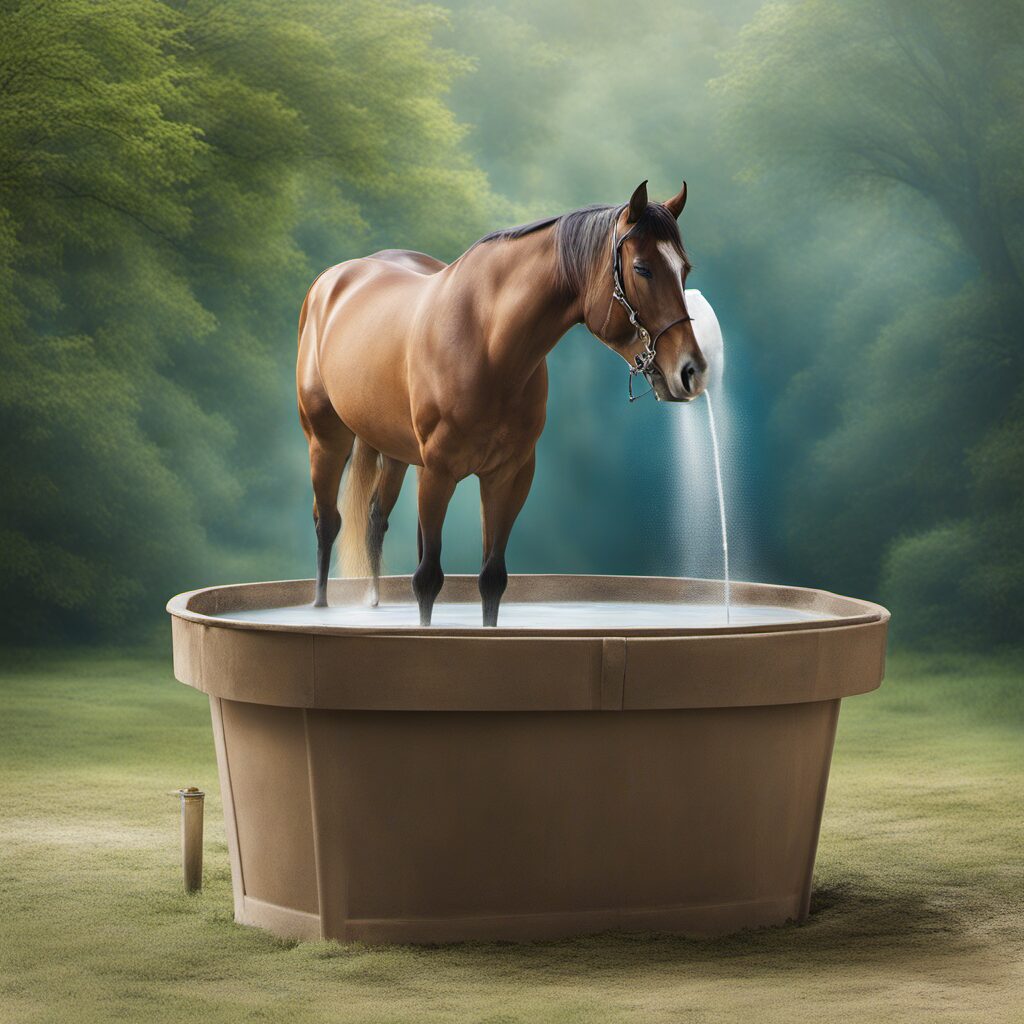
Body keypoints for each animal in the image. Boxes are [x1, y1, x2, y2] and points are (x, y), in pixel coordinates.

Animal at [297, 179, 708, 626]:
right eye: (642, 269)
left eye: (684, 269)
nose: (691, 371)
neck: (487, 341)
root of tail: (332, 279)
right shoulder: (439, 472)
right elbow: (427, 579)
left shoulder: (509, 475)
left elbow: (492, 579)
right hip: (327, 439)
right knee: (326, 522)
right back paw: (320, 606)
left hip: (394, 452)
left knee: (374, 520)